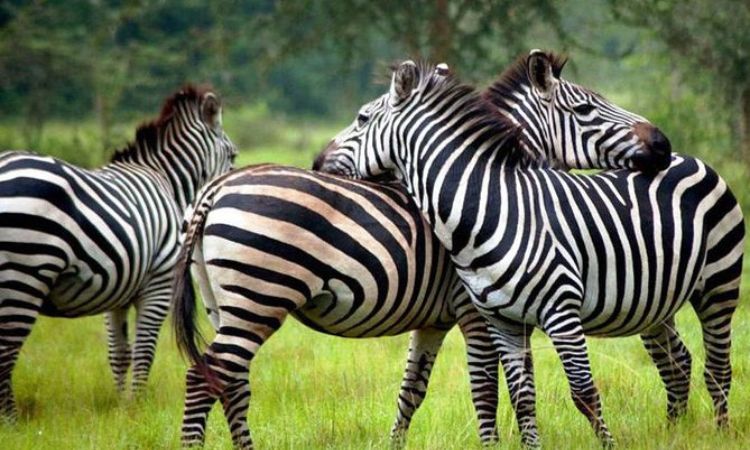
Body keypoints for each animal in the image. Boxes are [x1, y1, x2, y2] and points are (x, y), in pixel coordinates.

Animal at [0, 85, 236, 422]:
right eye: (233, 155)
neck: (167, 182)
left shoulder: (120, 288)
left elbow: (120, 354)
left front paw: (123, 406)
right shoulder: (158, 284)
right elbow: (144, 351)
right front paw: (137, 405)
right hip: (25, 274)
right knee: (6, 353)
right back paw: (11, 420)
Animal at [171, 52, 676, 449]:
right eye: (586, 107)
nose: (662, 143)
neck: (491, 191)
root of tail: (214, 189)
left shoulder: (435, 321)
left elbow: (413, 391)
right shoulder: (475, 313)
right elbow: (488, 388)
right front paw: (496, 443)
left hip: (227, 305)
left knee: (230, 382)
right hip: (260, 295)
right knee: (203, 378)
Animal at [323, 60, 744, 447]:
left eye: (361, 118)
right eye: (585, 108)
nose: (662, 145)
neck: (491, 204)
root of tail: (693, 159)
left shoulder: (540, 312)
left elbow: (558, 392)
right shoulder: (492, 318)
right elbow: (510, 393)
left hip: (717, 286)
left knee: (715, 367)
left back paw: (716, 433)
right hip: (656, 302)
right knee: (678, 362)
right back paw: (676, 433)